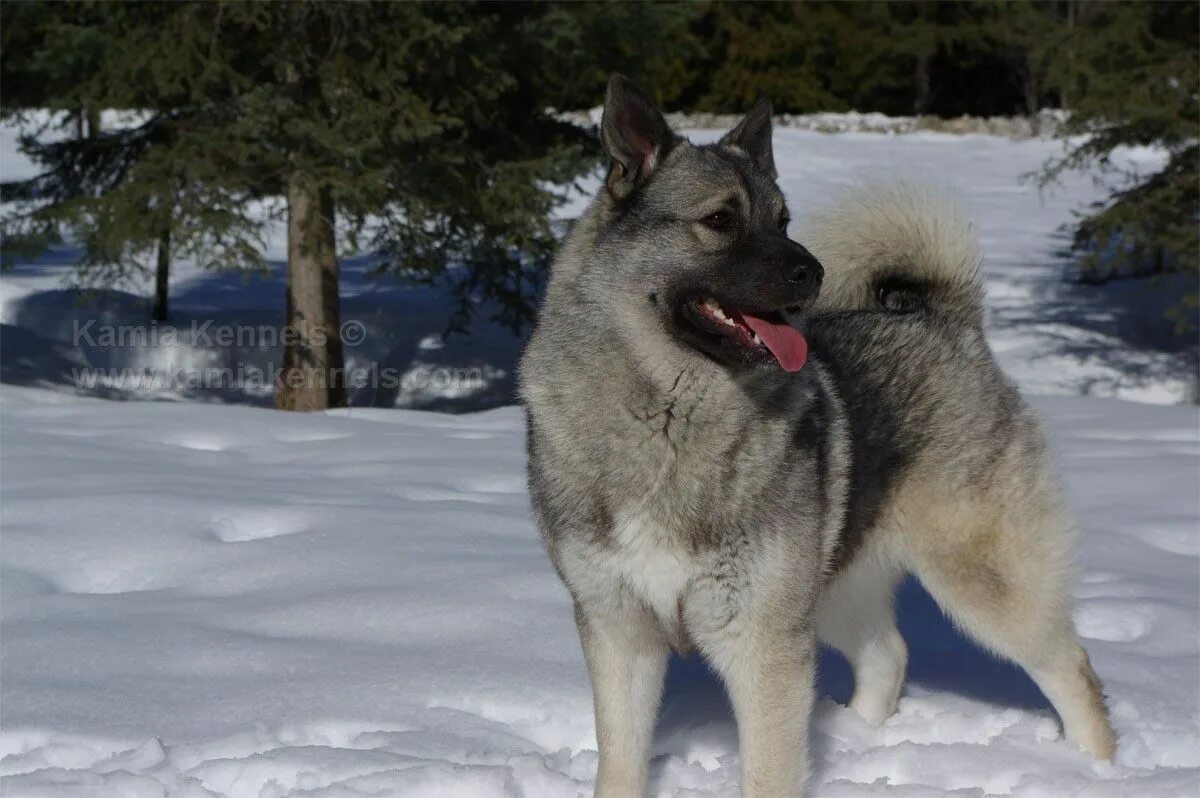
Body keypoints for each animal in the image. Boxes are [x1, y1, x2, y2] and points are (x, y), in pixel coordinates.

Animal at [516, 76, 1113, 796]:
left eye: (783, 221)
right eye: (721, 220)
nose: (813, 270)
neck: (666, 417)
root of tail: (948, 321)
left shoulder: (763, 644)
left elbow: (768, 772)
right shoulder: (618, 631)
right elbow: (621, 765)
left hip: (982, 584)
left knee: (1073, 670)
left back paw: (1097, 769)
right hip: (831, 588)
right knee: (889, 654)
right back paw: (862, 739)